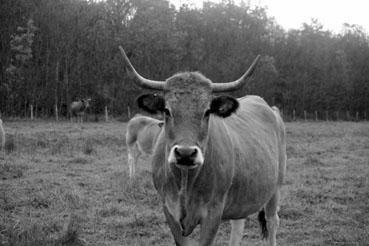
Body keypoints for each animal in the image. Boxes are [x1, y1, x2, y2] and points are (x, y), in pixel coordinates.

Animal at [119, 46, 286, 246]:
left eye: (207, 112)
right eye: (167, 110)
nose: (185, 153)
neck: (186, 181)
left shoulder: (213, 213)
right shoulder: (169, 211)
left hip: (276, 187)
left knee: (272, 221)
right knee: (238, 225)